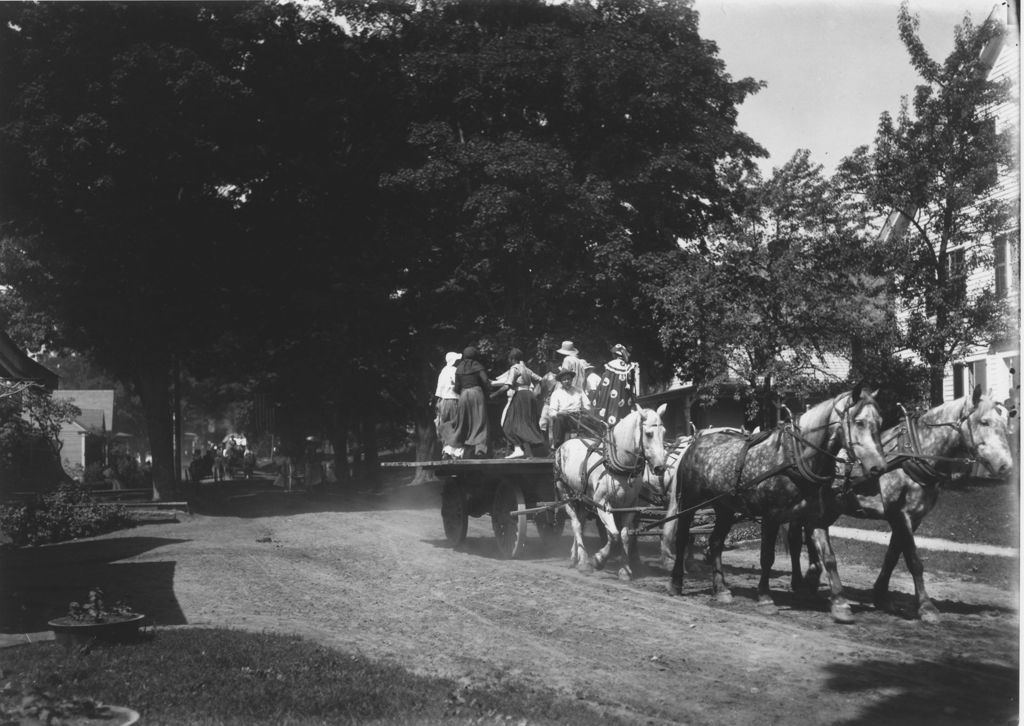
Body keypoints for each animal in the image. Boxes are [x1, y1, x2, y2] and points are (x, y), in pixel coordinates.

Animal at [557, 405, 667, 581]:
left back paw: (575, 557)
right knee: (575, 524)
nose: (660, 467)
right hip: (565, 492)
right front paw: (598, 559)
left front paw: (625, 570)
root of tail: (565, 444)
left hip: (582, 498)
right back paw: (583, 561)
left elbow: (624, 535)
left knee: (580, 522)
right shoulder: (602, 503)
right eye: (649, 434)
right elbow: (614, 535)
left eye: (664, 432)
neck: (621, 466)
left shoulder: (630, 506)